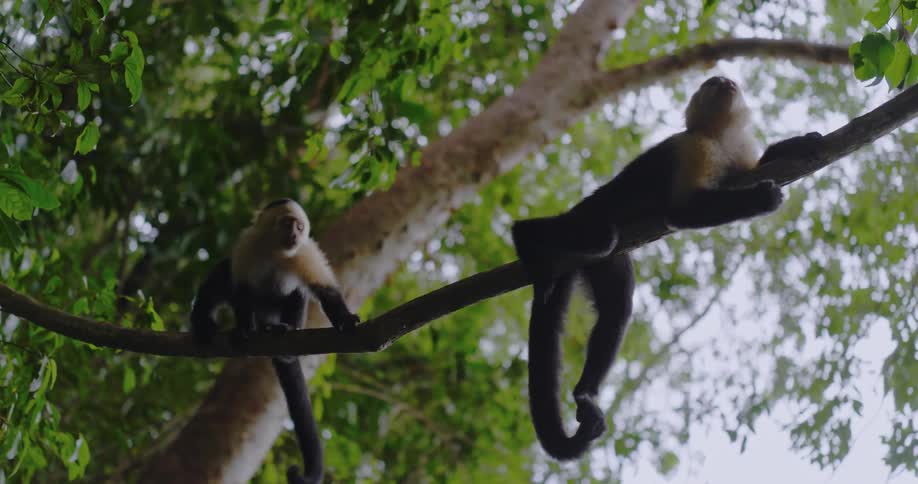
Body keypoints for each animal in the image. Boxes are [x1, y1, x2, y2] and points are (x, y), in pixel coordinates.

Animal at [190, 198, 359, 484]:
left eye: (300, 226)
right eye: (287, 223)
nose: (295, 234)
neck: (276, 252)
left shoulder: (305, 253)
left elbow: (324, 290)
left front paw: (345, 319)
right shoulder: (248, 244)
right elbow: (241, 289)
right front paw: (242, 330)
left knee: (298, 293)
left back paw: (282, 330)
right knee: (223, 275)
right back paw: (207, 323)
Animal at [511, 76, 824, 460]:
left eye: (724, 81)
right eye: (710, 83)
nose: (723, 80)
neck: (718, 138)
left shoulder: (736, 152)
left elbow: (757, 166)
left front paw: (801, 143)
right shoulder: (691, 148)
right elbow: (680, 211)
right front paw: (761, 199)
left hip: (604, 262)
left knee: (616, 308)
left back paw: (585, 391)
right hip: (587, 218)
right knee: (597, 235)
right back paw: (526, 239)